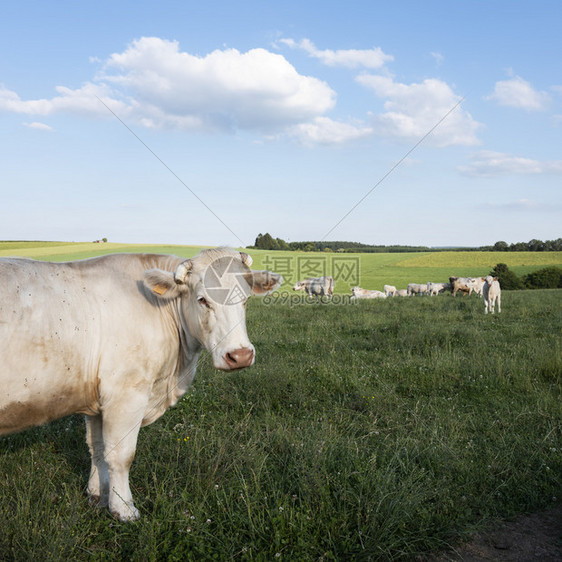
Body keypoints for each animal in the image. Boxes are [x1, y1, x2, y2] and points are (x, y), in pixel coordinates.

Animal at [0, 247, 280, 520]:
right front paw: (123, 508)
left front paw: (97, 495)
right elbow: (121, 455)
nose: (240, 355)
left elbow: (97, 448)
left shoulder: (98, 400)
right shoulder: (126, 393)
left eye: (245, 299)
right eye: (202, 300)